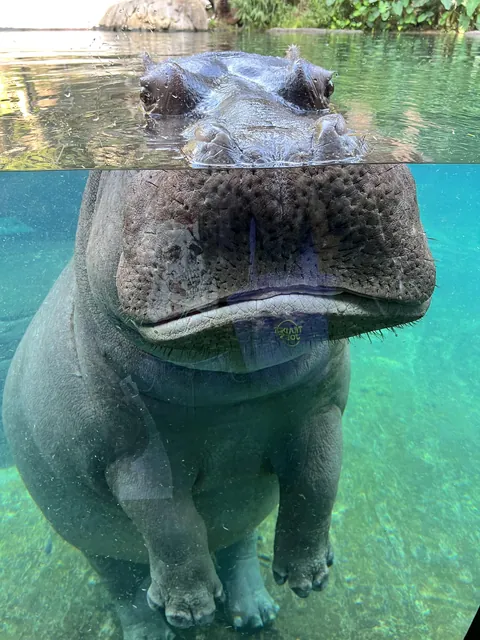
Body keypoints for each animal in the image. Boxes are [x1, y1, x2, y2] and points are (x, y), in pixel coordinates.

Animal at [3, 52, 435, 640]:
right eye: (147, 93)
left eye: (326, 83)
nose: (274, 149)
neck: (236, 391)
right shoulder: (132, 450)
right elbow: (168, 521)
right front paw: (189, 609)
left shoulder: (321, 409)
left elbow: (318, 479)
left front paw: (308, 577)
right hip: (89, 539)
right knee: (124, 584)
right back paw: (156, 626)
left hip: (240, 514)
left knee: (236, 544)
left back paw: (255, 612)